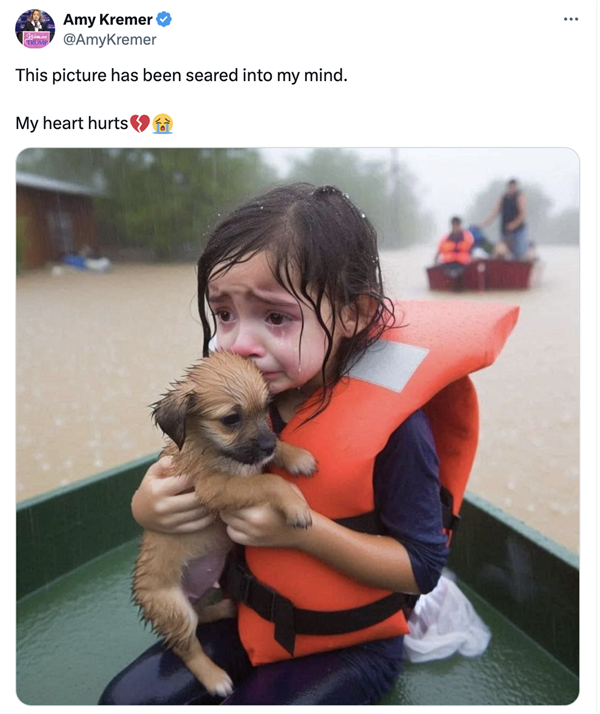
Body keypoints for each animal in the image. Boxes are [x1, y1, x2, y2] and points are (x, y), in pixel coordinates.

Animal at [133, 350, 316, 696]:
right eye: (231, 418)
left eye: (266, 407)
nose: (268, 446)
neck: (209, 445)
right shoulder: (215, 487)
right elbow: (268, 482)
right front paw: (296, 504)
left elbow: (268, 459)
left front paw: (296, 456)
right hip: (173, 608)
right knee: (187, 647)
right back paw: (215, 677)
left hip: (203, 589)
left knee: (201, 615)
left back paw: (224, 609)